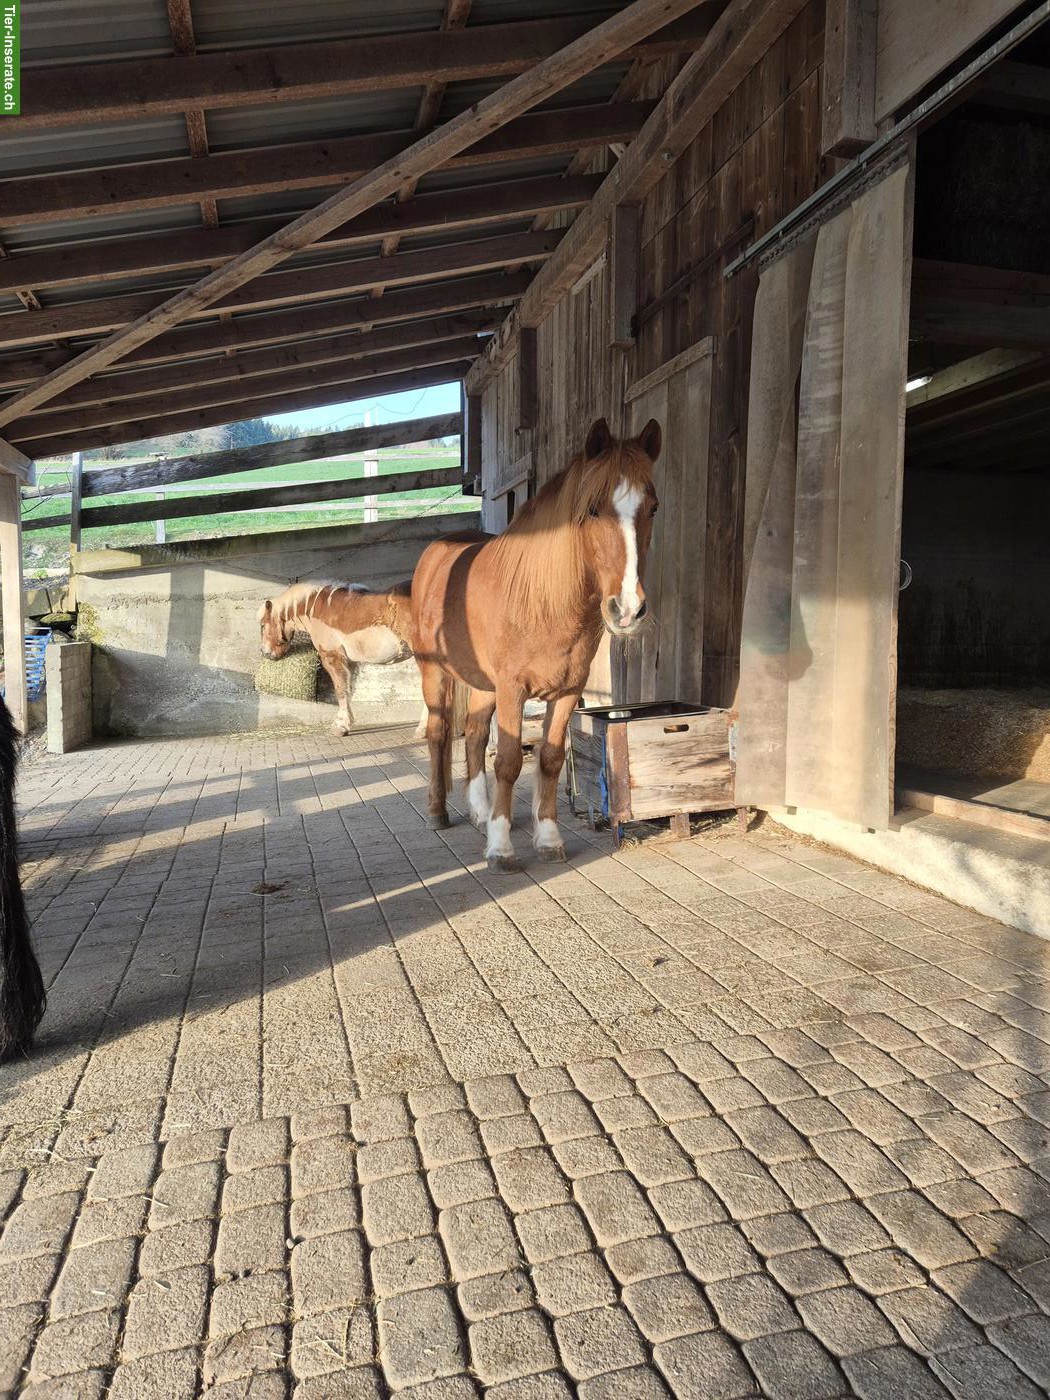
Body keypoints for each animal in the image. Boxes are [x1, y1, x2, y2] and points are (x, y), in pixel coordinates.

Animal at [258, 581, 424, 735]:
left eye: (262, 625)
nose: (266, 653)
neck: (318, 609)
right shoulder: (349, 662)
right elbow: (348, 689)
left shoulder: (332, 657)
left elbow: (340, 689)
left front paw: (340, 726)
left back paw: (421, 730)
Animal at [411, 416, 661, 871]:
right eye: (593, 508)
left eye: (652, 508)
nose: (627, 609)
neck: (544, 603)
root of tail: (438, 551)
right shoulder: (513, 690)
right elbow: (510, 761)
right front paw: (501, 848)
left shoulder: (567, 692)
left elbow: (549, 757)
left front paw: (547, 838)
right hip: (433, 671)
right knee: (439, 734)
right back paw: (438, 812)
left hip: (482, 683)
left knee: (475, 734)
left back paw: (479, 811)